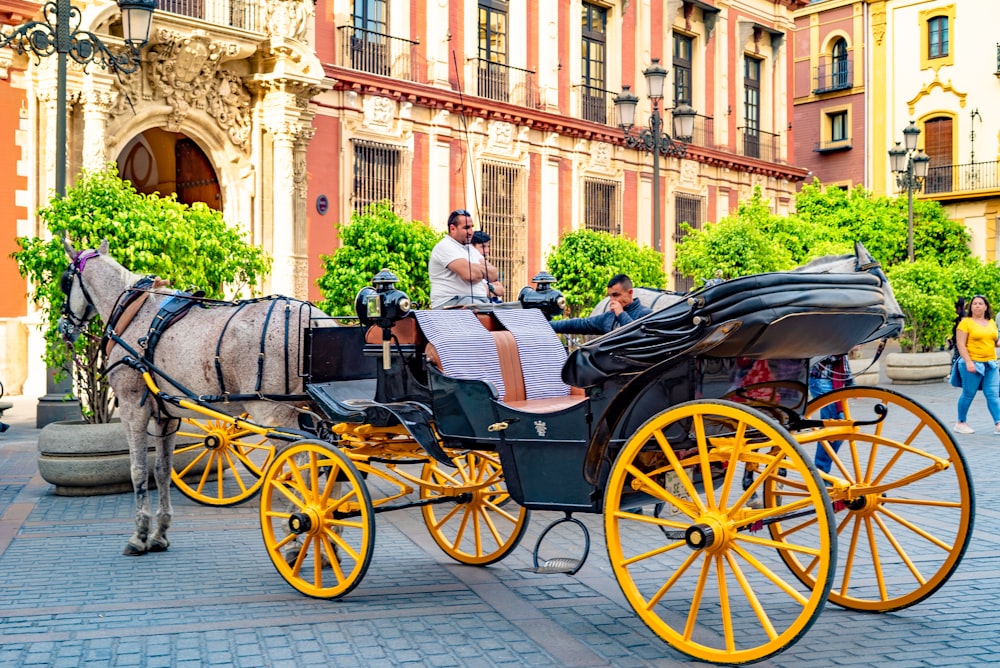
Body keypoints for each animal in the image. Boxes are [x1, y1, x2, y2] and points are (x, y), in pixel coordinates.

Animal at [58, 239, 328, 552]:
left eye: (65, 281)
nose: (63, 327)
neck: (133, 313)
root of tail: (315, 319)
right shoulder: (166, 416)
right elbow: (162, 470)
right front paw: (160, 532)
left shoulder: (131, 407)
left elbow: (138, 470)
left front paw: (139, 535)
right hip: (313, 412)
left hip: (275, 414)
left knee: (300, 466)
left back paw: (299, 531)